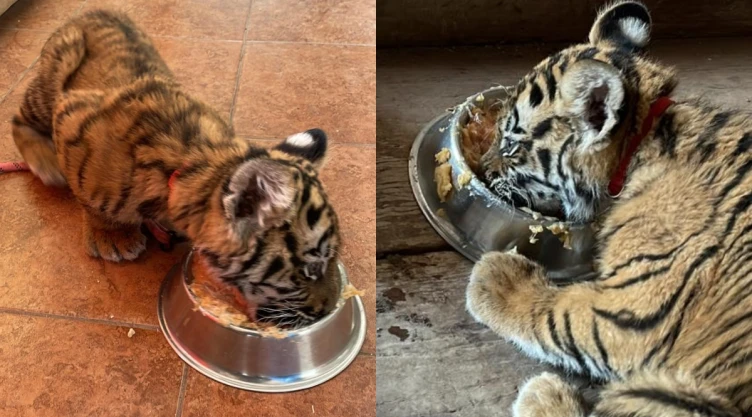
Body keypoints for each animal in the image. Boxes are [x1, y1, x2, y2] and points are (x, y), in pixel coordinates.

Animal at [11, 10, 341, 328]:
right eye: (312, 268)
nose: (327, 309)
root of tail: (90, 10)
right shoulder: (71, 117)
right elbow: (91, 200)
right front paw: (114, 236)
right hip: (55, 73)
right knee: (17, 119)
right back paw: (47, 163)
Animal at [465, 1, 752, 416]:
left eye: (510, 145)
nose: (484, 171)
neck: (641, 140)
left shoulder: (636, 310)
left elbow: (559, 314)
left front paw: (495, 279)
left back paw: (544, 392)